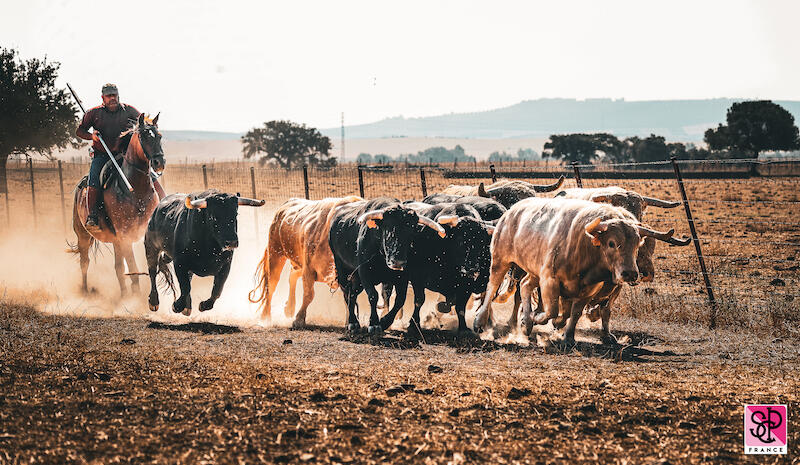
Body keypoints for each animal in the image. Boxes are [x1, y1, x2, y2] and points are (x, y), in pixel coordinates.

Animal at [70, 112, 166, 294]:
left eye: (159, 136)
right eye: (143, 136)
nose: (159, 162)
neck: (135, 190)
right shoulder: (125, 235)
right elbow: (133, 269)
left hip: (115, 241)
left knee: (118, 268)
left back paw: (123, 295)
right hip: (83, 234)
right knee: (85, 263)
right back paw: (85, 291)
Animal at [248, 196, 364, 326]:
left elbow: (349, 297)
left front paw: (350, 321)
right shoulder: (309, 269)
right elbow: (309, 294)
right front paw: (299, 319)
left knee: (292, 275)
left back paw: (289, 308)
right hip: (276, 252)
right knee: (272, 283)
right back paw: (265, 316)